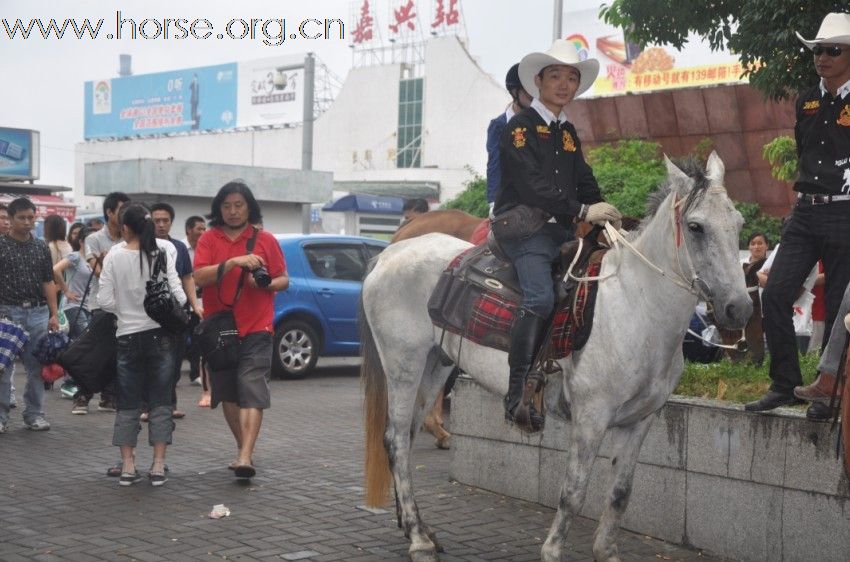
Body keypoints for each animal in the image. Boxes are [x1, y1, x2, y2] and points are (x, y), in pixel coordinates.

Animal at [358, 151, 748, 556]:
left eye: (738, 223)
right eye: (696, 227)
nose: (739, 308)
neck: (633, 304)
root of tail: (389, 253)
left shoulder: (640, 421)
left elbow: (620, 494)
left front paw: (606, 552)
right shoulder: (591, 418)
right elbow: (573, 494)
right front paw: (552, 551)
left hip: (435, 364)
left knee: (408, 435)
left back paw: (416, 527)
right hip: (403, 365)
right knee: (396, 438)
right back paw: (418, 538)